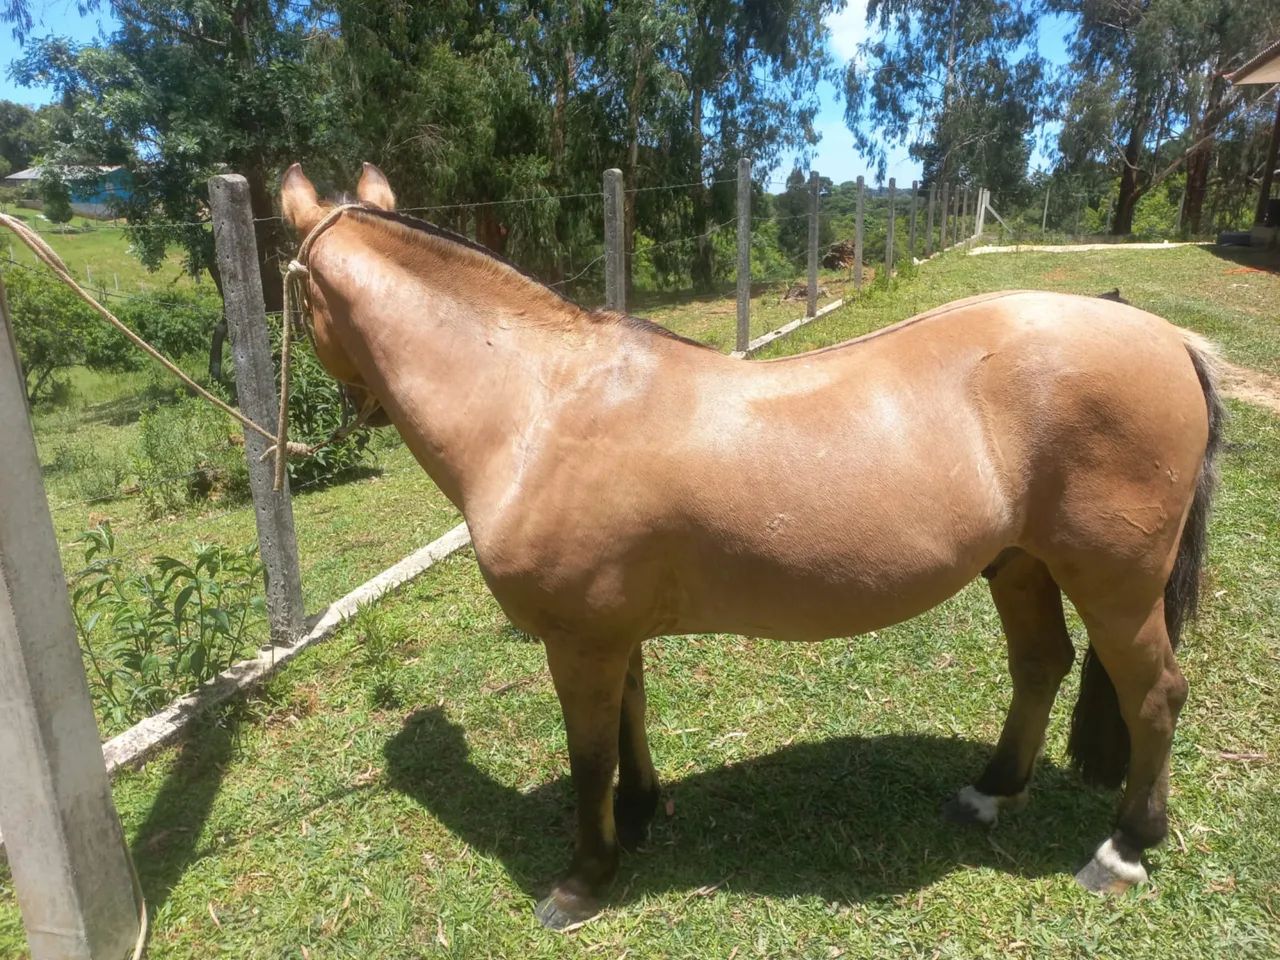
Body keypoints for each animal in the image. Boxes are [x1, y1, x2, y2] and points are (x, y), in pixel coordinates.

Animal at [279, 163, 1223, 930]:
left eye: (294, 299)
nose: (352, 413)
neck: (541, 405)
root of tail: (1169, 340)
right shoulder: (613, 633)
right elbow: (630, 717)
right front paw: (643, 813)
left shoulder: (578, 641)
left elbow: (588, 756)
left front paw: (585, 878)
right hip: (1020, 565)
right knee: (1041, 665)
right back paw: (989, 794)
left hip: (1116, 585)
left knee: (1155, 696)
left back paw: (1124, 849)